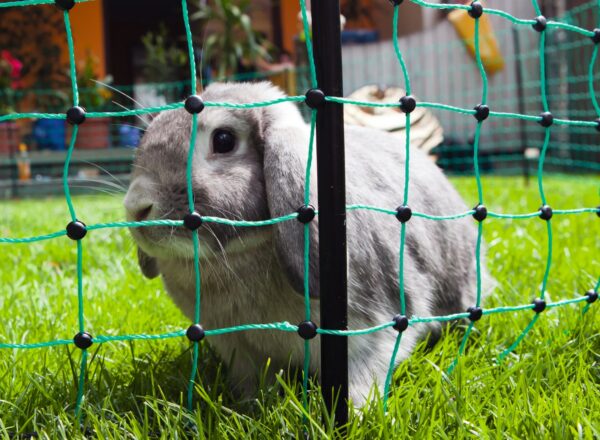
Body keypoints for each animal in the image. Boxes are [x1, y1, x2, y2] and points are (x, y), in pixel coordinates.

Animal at [123, 81, 488, 406]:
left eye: (224, 140)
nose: (136, 207)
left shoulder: (373, 331)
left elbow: (363, 377)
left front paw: (356, 414)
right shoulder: (240, 349)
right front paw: (250, 407)